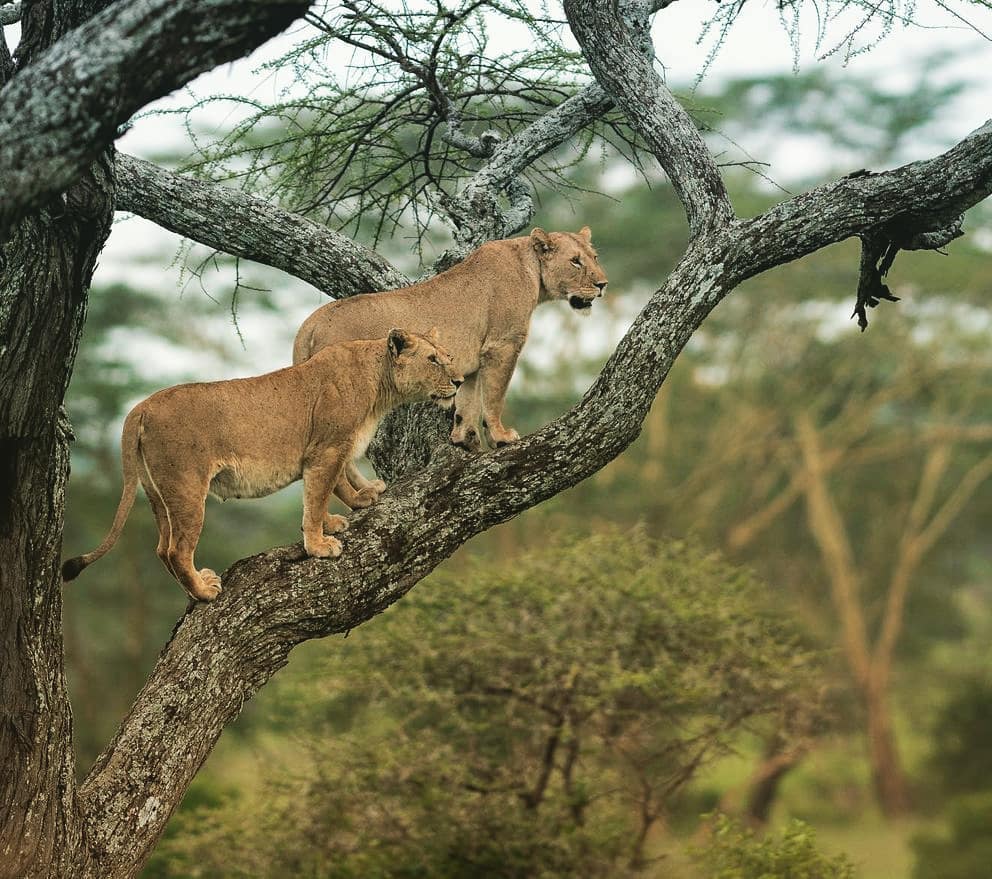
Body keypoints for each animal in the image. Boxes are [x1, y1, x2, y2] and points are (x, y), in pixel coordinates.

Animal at [62, 329, 462, 602]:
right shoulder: (327, 449)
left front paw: (344, 513)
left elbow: (329, 489)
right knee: (176, 549)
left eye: (448, 355)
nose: (459, 381)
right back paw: (205, 593)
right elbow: (318, 495)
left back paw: (196, 588)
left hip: (156, 491)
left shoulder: (329, 451)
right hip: (187, 486)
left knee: (162, 548)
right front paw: (320, 545)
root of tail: (141, 407)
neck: (379, 384)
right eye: (433, 359)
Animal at [293, 228, 608, 481]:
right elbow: (494, 397)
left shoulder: (472, 362)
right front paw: (501, 438)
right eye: (575, 261)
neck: (531, 268)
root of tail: (310, 324)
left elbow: (468, 402)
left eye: (595, 257)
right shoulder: (502, 345)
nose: (603, 285)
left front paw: (465, 441)